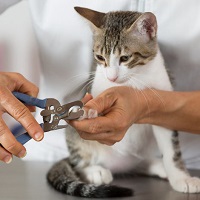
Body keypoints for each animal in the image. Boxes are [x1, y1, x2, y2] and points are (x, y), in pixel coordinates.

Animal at [46, 6, 200, 198]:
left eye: (125, 58)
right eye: (100, 57)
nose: (112, 77)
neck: (133, 80)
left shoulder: (164, 99)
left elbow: (172, 149)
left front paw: (181, 178)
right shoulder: (96, 84)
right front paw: (89, 111)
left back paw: (156, 165)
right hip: (76, 141)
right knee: (78, 161)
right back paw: (94, 170)